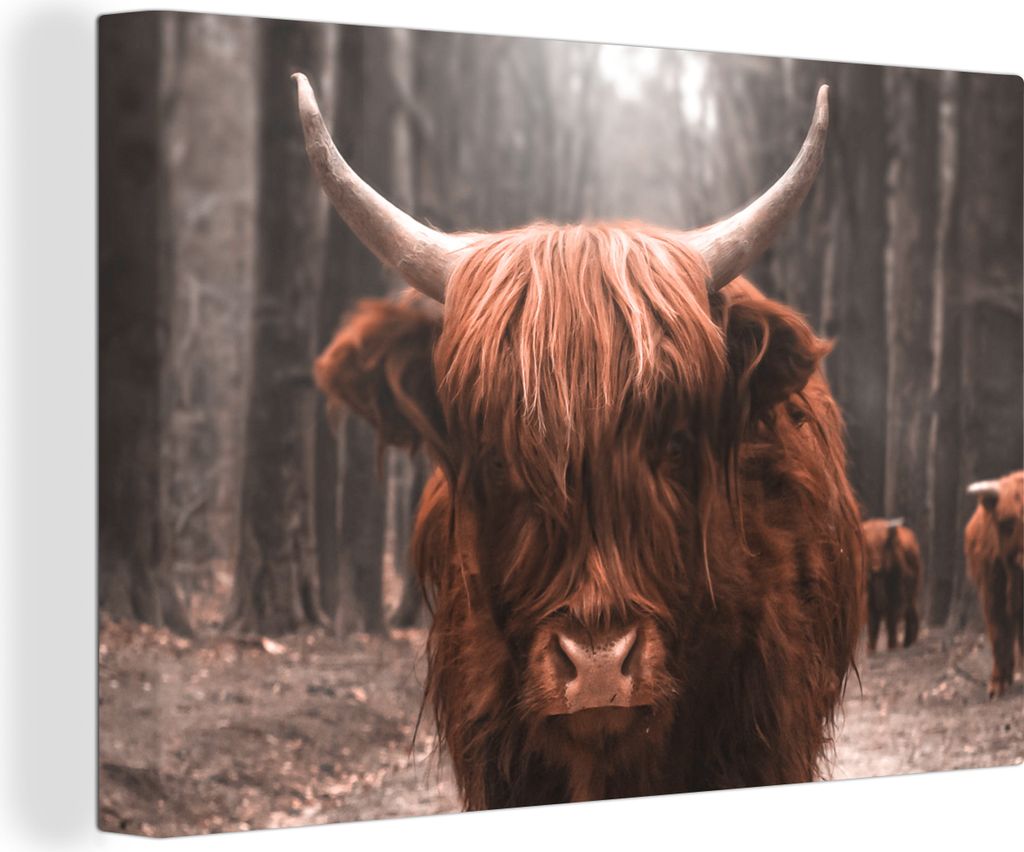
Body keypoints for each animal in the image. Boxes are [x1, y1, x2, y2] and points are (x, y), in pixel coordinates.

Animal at [861, 518, 921, 652]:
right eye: (867, 546)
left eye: (884, 544)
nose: (875, 568)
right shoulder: (869, 602)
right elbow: (873, 624)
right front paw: (870, 648)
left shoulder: (897, 598)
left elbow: (892, 621)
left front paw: (892, 645)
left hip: (913, 594)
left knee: (911, 613)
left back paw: (909, 642)